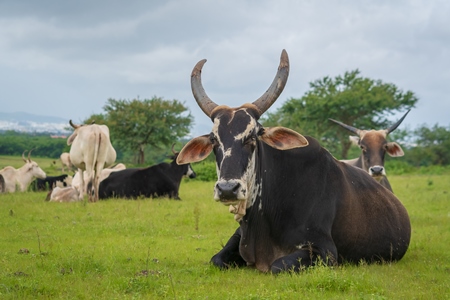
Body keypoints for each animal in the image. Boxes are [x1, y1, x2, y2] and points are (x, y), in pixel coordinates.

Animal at [177, 50, 412, 274]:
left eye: (252, 137)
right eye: (214, 139)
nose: (227, 189)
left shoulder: (324, 250)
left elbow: (278, 265)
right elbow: (216, 260)